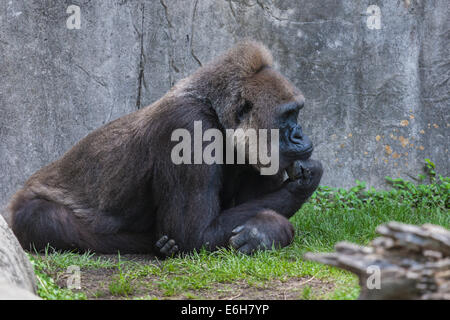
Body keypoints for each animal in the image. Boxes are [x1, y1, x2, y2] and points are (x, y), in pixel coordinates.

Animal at [7, 41, 324, 256]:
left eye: (297, 112)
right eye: (288, 115)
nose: (300, 135)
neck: (215, 112)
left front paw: (263, 233)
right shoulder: (187, 126)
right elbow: (193, 235)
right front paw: (277, 220)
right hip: (22, 208)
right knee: (45, 218)